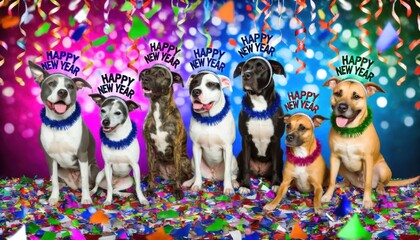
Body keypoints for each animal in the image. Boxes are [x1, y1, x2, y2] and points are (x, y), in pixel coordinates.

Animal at [28, 61, 99, 205]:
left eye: (70, 86)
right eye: (51, 84)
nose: (62, 92)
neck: (60, 123)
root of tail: (74, 185)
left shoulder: (82, 155)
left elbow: (85, 181)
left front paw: (86, 198)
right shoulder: (50, 158)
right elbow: (54, 179)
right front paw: (54, 197)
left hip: (93, 167)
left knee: (91, 183)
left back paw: (91, 192)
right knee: (59, 181)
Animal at [141, 64, 194, 201]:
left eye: (160, 74)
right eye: (147, 72)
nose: (144, 79)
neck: (158, 106)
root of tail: (167, 176)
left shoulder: (176, 146)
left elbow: (178, 174)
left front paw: (177, 190)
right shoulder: (149, 147)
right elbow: (150, 172)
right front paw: (150, 189)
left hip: (184, 160)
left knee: (185, 175)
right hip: (155, 160)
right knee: (154, 173)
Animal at [231, 56, 288, 195]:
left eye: (261, 67)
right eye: (245, 67)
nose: (245, 75)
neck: (259, 105)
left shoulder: (275, 140)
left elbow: (275, 167)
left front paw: (276, 184)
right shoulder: (246, 139)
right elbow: (245, 167)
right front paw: (246, 185)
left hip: (280, 152)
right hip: (240, 153)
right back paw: (236, 181)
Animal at [322, 78, 420, 208]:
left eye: (356, 96)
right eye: (338, 93)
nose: (342, 107)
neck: (349, 132)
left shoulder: (367, 159)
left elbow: (368, 183)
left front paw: (367, 201)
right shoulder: (334, 157)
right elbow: (332, 180)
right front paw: (328, 195)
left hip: (384, 169)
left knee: (381, 182)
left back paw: (380, 188)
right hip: (342, 167)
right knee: (348, 182)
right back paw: (342, 184)